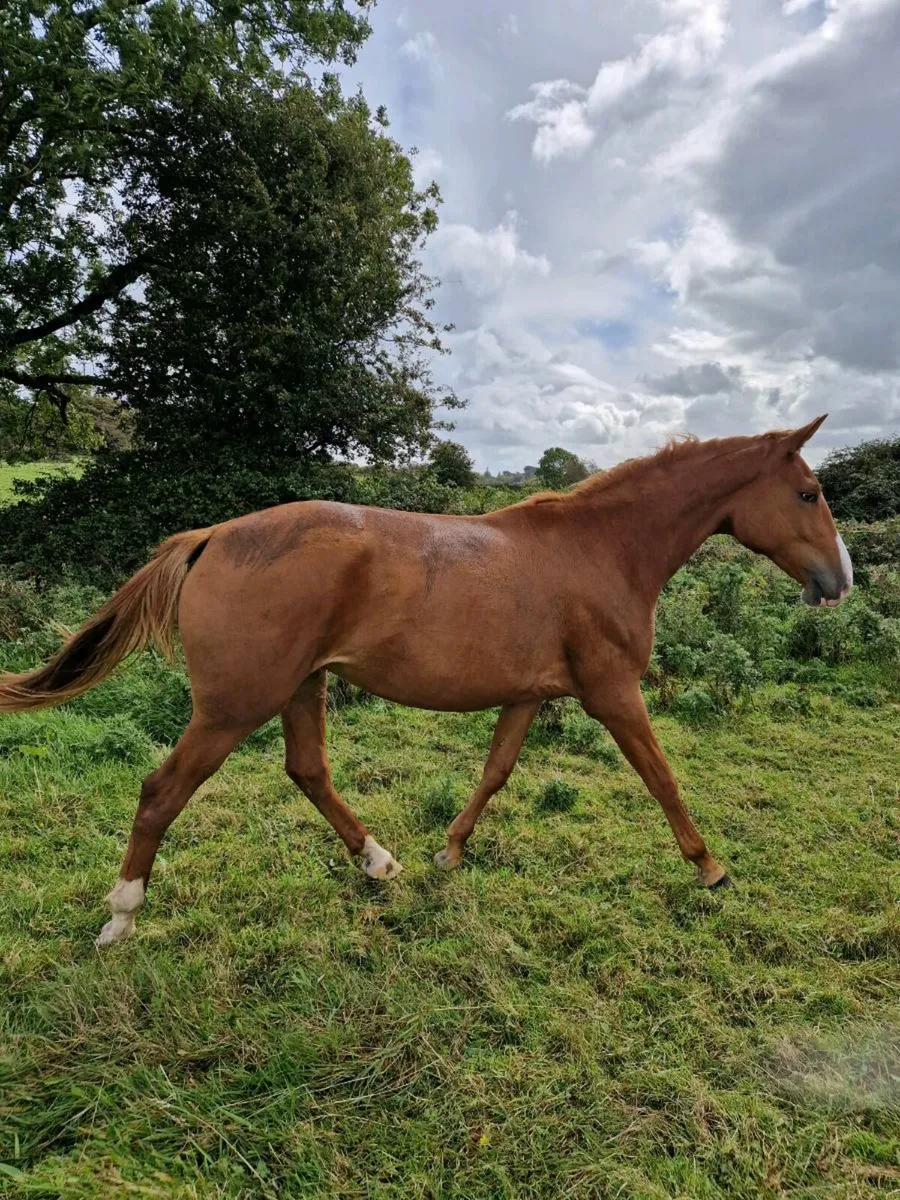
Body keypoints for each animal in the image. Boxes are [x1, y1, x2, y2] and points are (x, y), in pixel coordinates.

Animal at [0, 415, 853, 946]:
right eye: (808, 492)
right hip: (233, 707)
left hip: (300, 688)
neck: (601, 549)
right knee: (161, 793)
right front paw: (710, 867)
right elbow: (661, 775)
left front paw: (449, 852)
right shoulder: (613, 693)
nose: (839, 580)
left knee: (307, 771)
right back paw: (122, 917)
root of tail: (211, 536)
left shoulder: (527, 695)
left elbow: (496, 771)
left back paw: (380, 862)